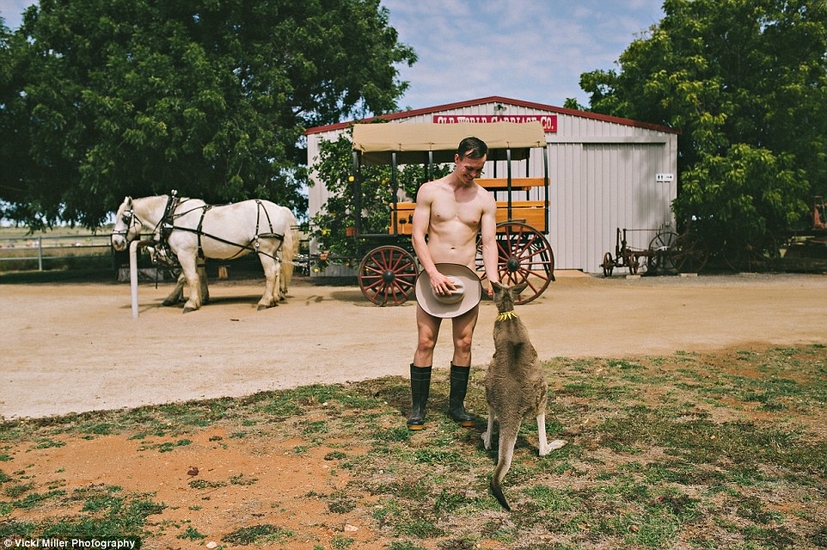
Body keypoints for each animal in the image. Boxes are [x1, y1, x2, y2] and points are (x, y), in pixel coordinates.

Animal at [111, 196, 296, 312]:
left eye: (125, 219)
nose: (116, 242)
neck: (173, 217)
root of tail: (279, 209)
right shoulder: (197, 254)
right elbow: (199, 276)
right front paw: (201, 298)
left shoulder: (185, 254)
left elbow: (189, 277)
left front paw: (191, 303)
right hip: (272, 251)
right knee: (277, 270)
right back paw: (273, 298)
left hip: (264, 249)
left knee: (271, 273)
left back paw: (265, 301)